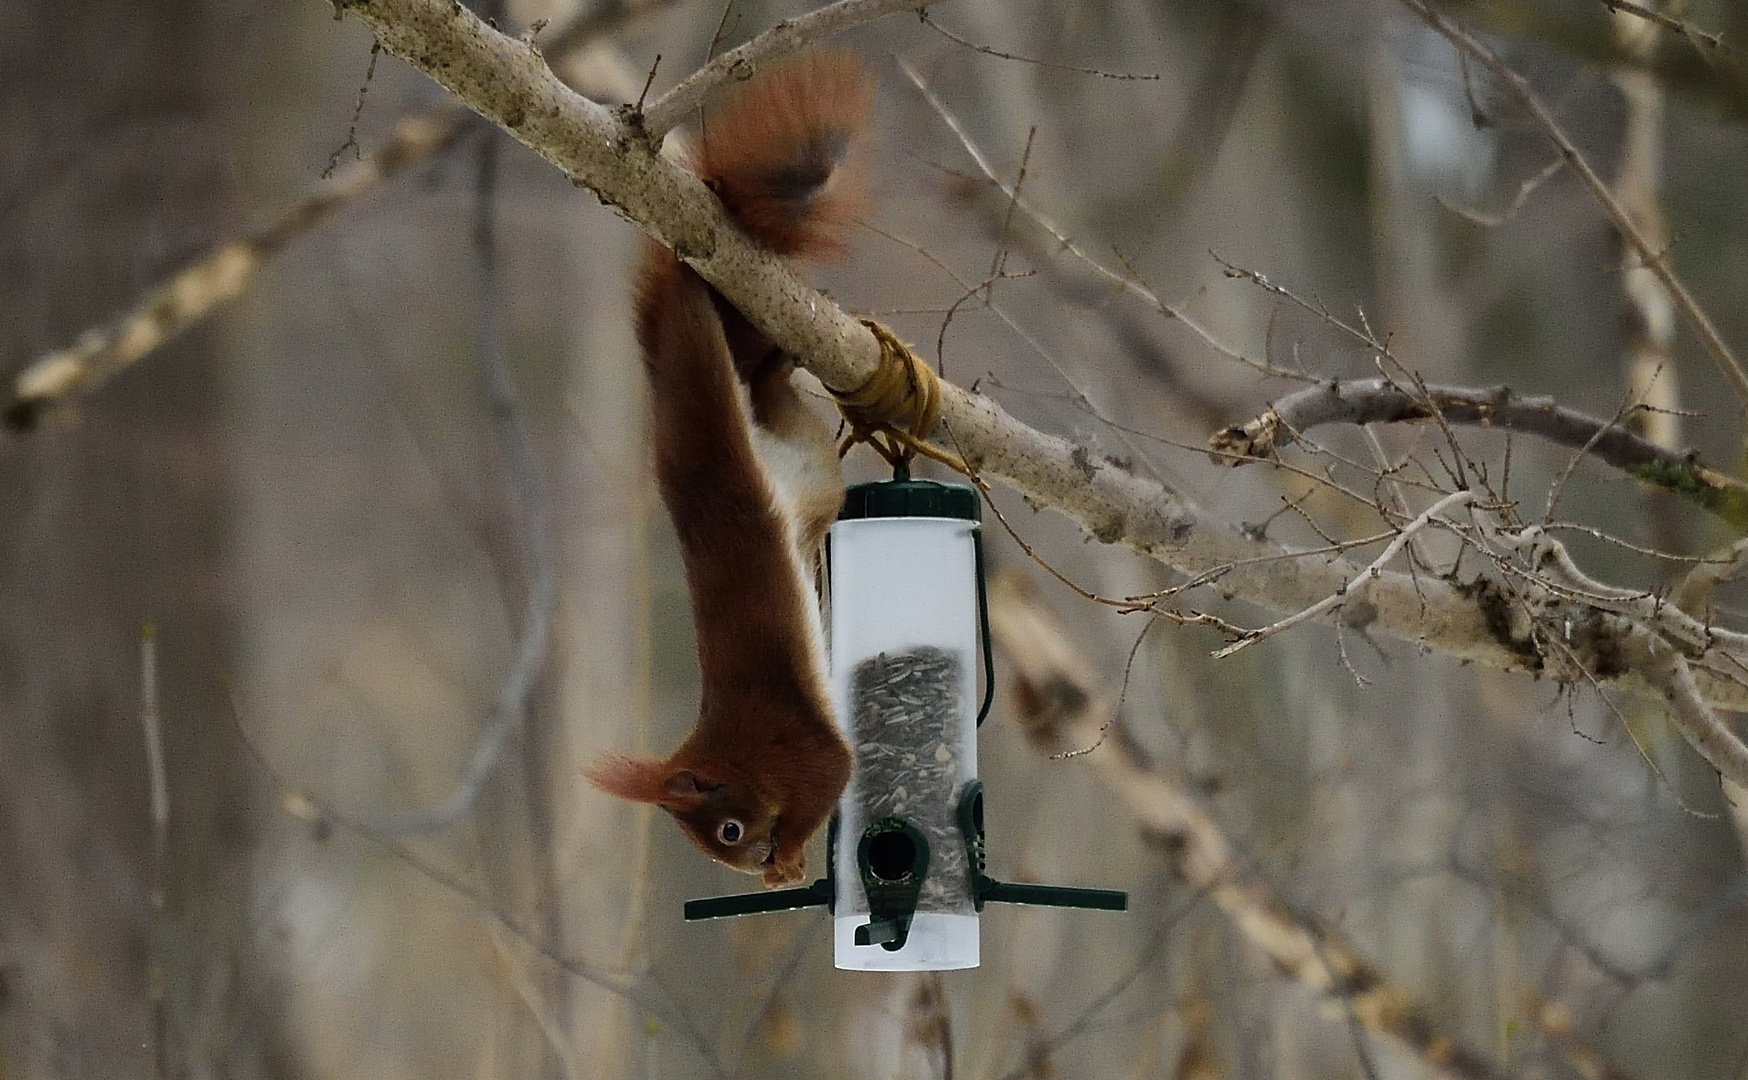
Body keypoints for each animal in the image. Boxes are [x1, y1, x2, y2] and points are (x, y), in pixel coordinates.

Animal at [583, 50, 870, 884]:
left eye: (729, 831)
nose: (754, 862)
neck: (734, 753)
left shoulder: (794, 745)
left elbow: (836, 770)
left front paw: (793, 853)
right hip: (788, 439)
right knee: (769, 385)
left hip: (716, 402)